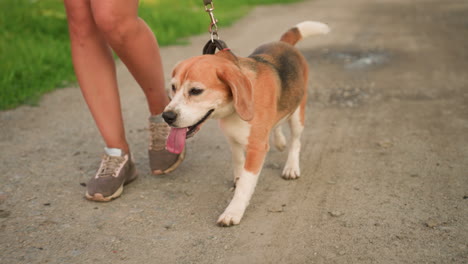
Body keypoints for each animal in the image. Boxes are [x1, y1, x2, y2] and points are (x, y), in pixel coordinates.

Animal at [163, 21, 330, 227]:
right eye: (173, 87)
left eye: (196, 91)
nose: (167, 116)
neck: (233, 111)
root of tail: (285, 43)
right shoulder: (232, 139)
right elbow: (238, 162)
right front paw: (237, 178)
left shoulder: (257, 148)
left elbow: (245, 183)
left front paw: (233, 211)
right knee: (277, 125)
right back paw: (280, 141)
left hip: (298, 113)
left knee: (296, 141)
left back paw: (291, 167)